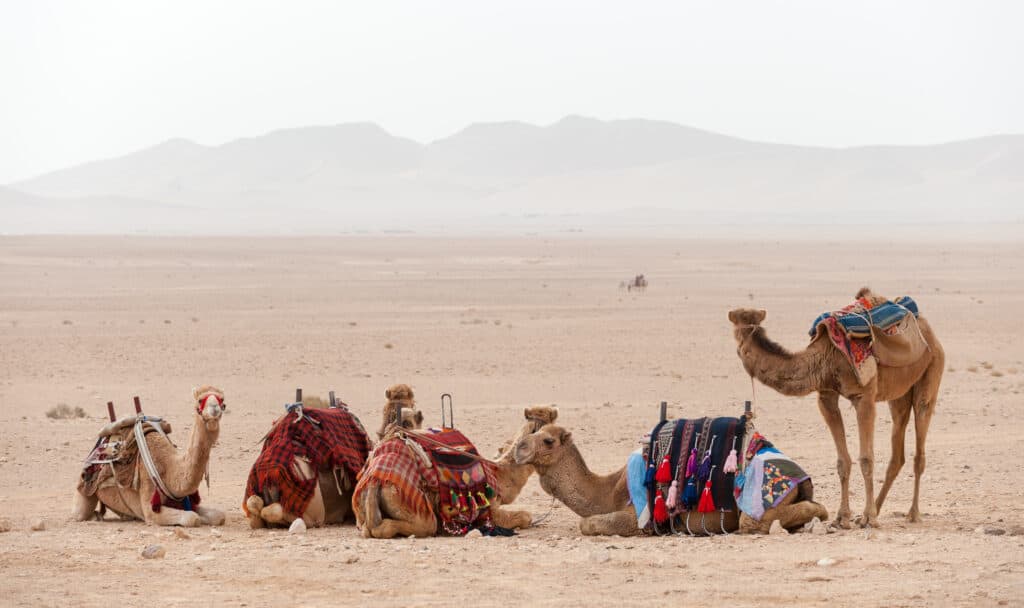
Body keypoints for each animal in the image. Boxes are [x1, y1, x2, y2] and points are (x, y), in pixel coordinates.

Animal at [74, 384, 228, 524]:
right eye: (200, 400)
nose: (214, 407)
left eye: (222, 399)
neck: (169, 467)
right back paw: (95, 516)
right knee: (80, 513)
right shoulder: (150, 509)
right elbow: (192, 518)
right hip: (84, 490)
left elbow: (219, 516)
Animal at [354, 403, 561, 536]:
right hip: (408, 501)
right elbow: (526, 516)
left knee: (366, 529)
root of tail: (374, 480)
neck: (498, 472)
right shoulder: (488, 510)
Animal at [507, 423, 827, 532]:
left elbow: (588, 524)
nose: (519, 448)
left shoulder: (639, 512)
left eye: (548, 440)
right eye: (534, 431)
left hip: (758, 500)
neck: (609, 490)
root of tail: (802, 475)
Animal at [729, 284, 942, 524]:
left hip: (932, 371)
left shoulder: (864, 397)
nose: (740, 350)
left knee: (920, 442)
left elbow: (866, 458)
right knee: (898, 445)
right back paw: (878, 507)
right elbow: (843, 461)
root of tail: (926, 328)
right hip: (899, 394)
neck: (825, 356)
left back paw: (912, 513)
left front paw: (868, 518)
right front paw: (843, 518)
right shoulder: (826, 396)